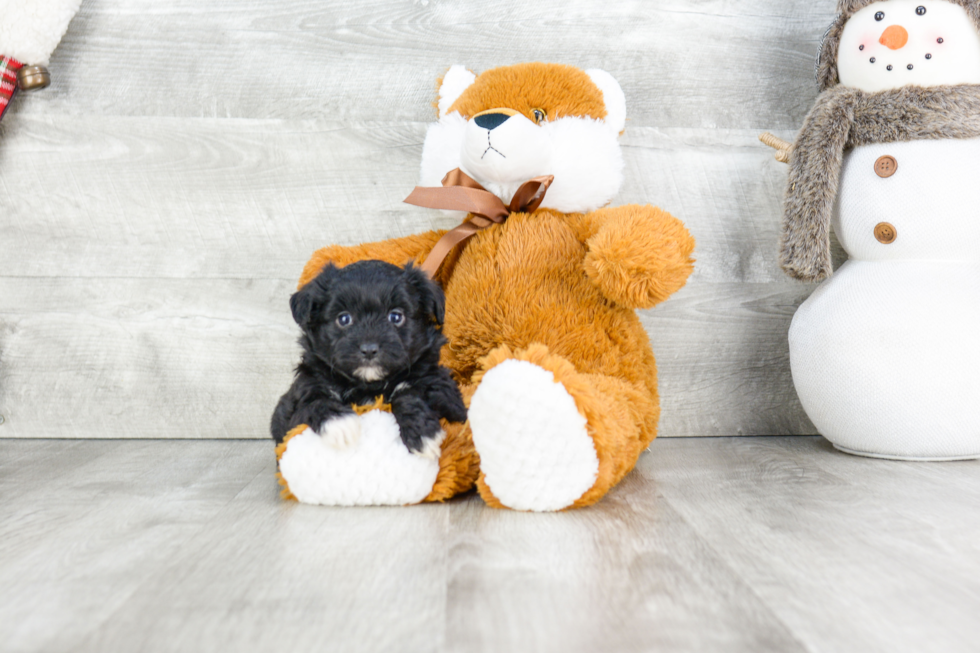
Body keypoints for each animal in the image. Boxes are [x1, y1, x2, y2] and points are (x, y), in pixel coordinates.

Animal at [268, 260, 468, 458]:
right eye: (344, 319)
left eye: (396, 316)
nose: (369, 350)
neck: (369, 386)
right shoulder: (295, 412)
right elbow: (314, 402)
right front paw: (340, 424)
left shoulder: (445, 392)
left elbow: (407, 392)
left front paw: (422, 434)